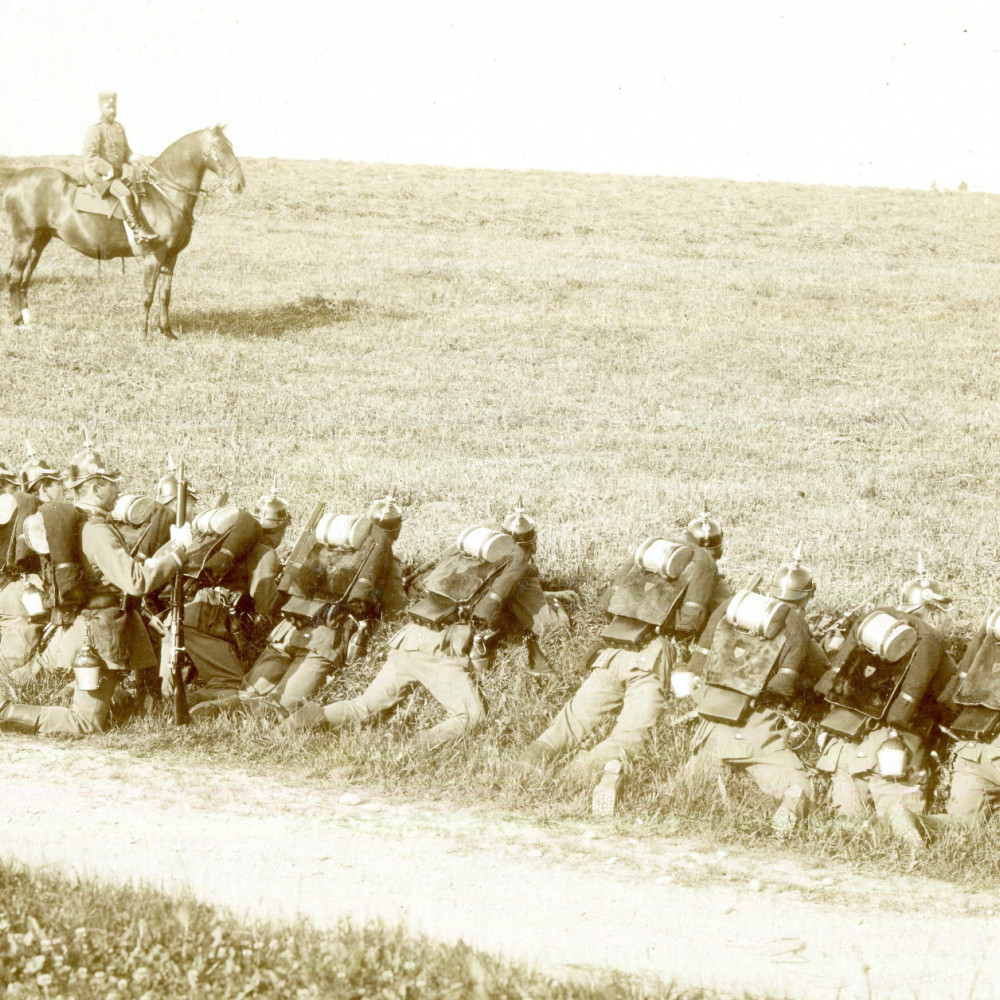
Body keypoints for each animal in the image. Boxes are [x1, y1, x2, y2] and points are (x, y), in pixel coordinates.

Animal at [2, 125, 245, 340]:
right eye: (219, 147)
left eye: (231, 145)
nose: (240, 184)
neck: (165, 196)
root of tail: (13, 181)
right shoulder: (154, 257)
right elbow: (147, 296)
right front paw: (144, 334)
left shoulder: (171, 257)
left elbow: (164, 295)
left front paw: (167, 332)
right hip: (24, 240)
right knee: (14, 276)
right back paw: (18, 322)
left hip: (39, 242)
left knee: (24, 279)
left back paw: (27, 319)